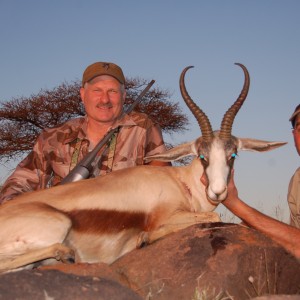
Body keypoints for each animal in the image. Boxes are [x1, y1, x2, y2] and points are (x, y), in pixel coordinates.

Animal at [0, 63, 286, 272]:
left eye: (233, 154)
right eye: (203, 156)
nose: (218, 192)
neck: (180, 182)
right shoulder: (166, 216)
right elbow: (211, 218)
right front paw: (145, 238)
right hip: (58, 224)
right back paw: (67, 254)